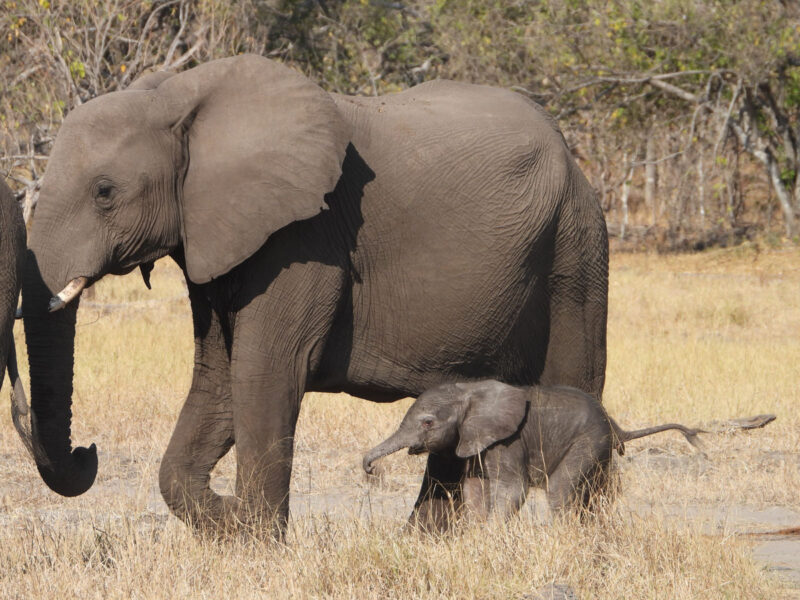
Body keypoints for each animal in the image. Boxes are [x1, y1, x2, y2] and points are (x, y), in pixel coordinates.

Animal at [21, 54, 608, 537]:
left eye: (104, 192)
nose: (87, 451)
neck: (177, 97)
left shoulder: (306, 238)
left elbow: (262, 370)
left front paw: (256, 541)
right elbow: (219, 374)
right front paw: (231, 522)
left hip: (575, 247)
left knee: (572, 381)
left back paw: (582, 537)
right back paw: (422, 542)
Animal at [363, 380, 707, 521]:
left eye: (427, 423)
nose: (369, 468)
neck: (468, 390)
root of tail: (615, 425)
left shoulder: (508, 442)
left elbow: (512, 491)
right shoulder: (475, 441)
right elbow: (474, 489)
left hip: (587, 441)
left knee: (560, 491)